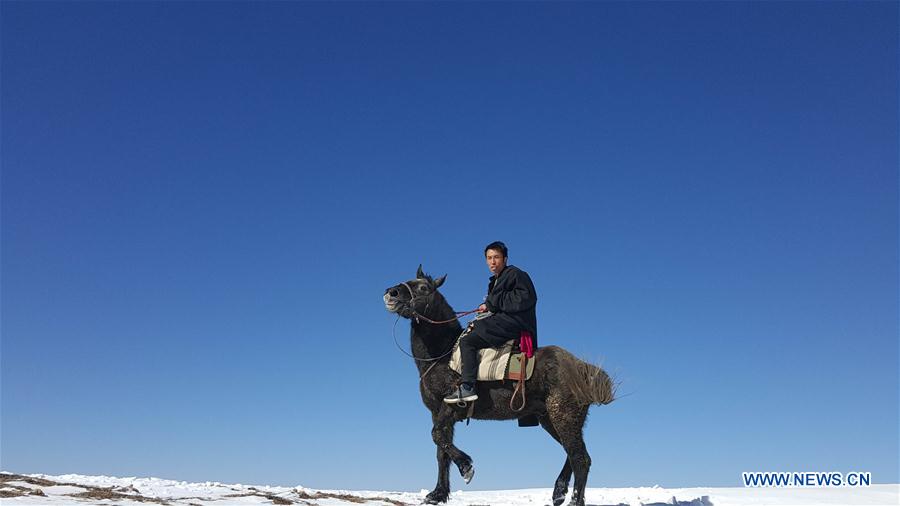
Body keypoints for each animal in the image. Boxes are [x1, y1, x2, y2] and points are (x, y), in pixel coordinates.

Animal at [384, 266, 616, 504]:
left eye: (423, 288)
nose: (391, 293)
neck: (443, 355)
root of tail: (583, 369)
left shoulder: (450, 407)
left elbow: (437, 436)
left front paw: (466, 467)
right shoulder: (436, 411)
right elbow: (441, 451)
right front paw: (438, 493)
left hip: (564, 416)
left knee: (580, 458)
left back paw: (574, 499)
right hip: (552, 419)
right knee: (572, 453)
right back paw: (559, 490)